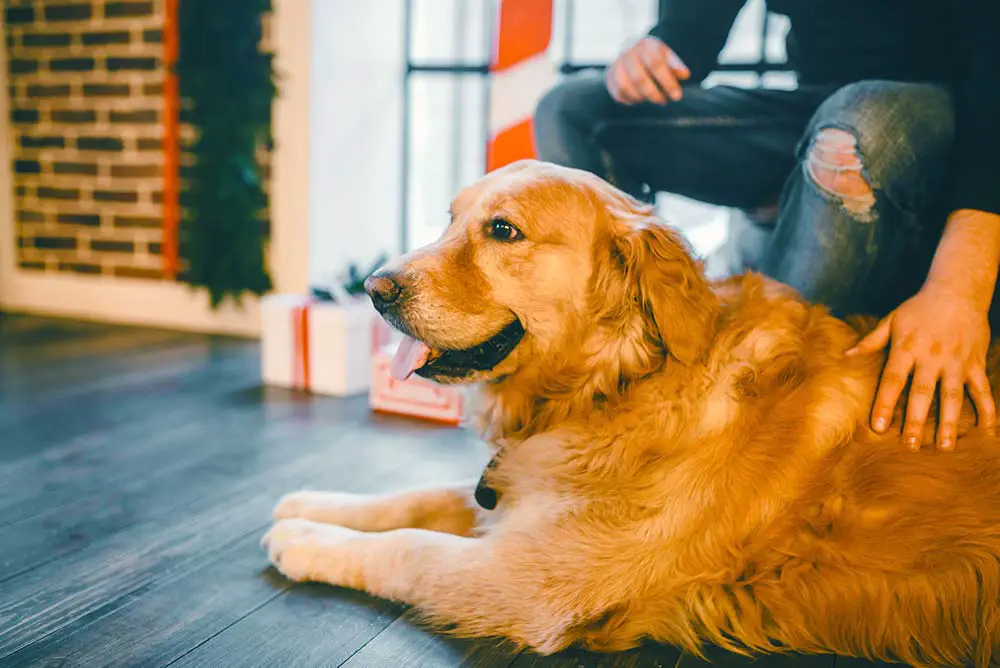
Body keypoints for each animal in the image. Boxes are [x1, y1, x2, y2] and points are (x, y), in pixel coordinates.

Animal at [262, 159, 1000, 664]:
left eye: (503, 231)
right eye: (449, 218)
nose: (373, 287)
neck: (614, 384)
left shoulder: (523, 582)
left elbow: (407, 547)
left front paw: (304, 539)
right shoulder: (518, 501)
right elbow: (416, 498)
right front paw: (312, 503)